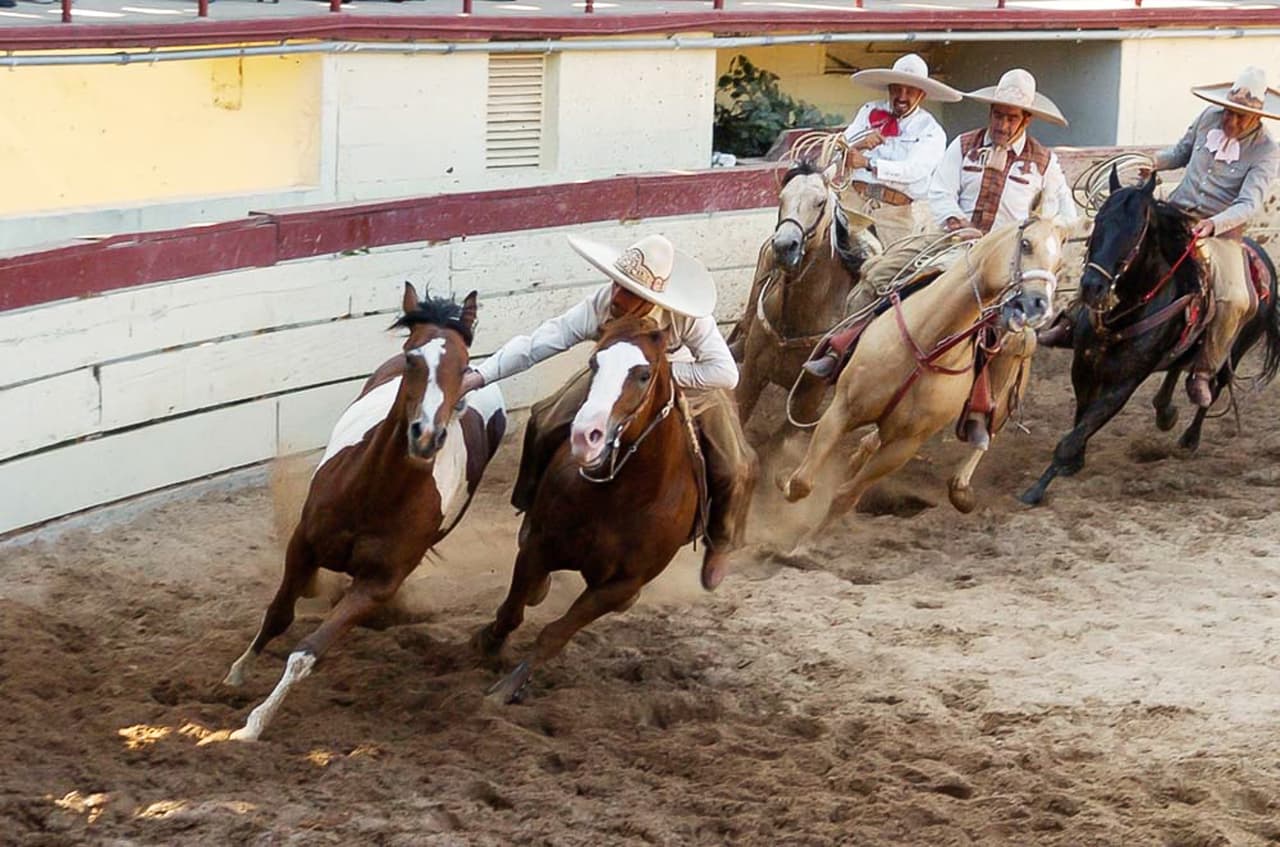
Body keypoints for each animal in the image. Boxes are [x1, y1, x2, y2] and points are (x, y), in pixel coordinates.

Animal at [219, 283, 507, 742]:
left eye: (462, 366)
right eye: (412, 358)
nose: (425, 436)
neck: (374, 497)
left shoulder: (378, 584)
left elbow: (307, 653)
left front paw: (253, 725)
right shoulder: (302, 545)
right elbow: (279, 615)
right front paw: (236, 675)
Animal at [474, 316, 701, 704]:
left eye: (643, 374)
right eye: (595, 362)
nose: (584, 436)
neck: (621, 498)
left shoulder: (620, 586)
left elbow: (556, 634)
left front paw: (509, 686)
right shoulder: (539, 547)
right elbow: (512, 610)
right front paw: (488, 644)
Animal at [777, 209, 1069, 543]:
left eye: (1059, 264)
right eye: (1026, 244)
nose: (1038, 306)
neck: (927, 346)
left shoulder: (904, 445)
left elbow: (844, 496)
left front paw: (801, 546)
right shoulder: (842, 410)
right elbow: (803, 481)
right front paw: (784, 482)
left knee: (984, 437)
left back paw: (961, 489)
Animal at [1020, 170, 1280, 506]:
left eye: (1135, 232)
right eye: (1099, 221)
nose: (1092, 286)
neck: (1128, 309)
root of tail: (1262, 260)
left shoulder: (1124, 383)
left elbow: (1079, 430)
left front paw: (1036, 489)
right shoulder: (1083, 366)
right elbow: (1081, 418)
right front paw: (1075, 461)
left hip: (1233, 352)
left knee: (1214, 388)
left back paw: (1190, 436)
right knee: (1178, 365)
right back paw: (1164, 410)